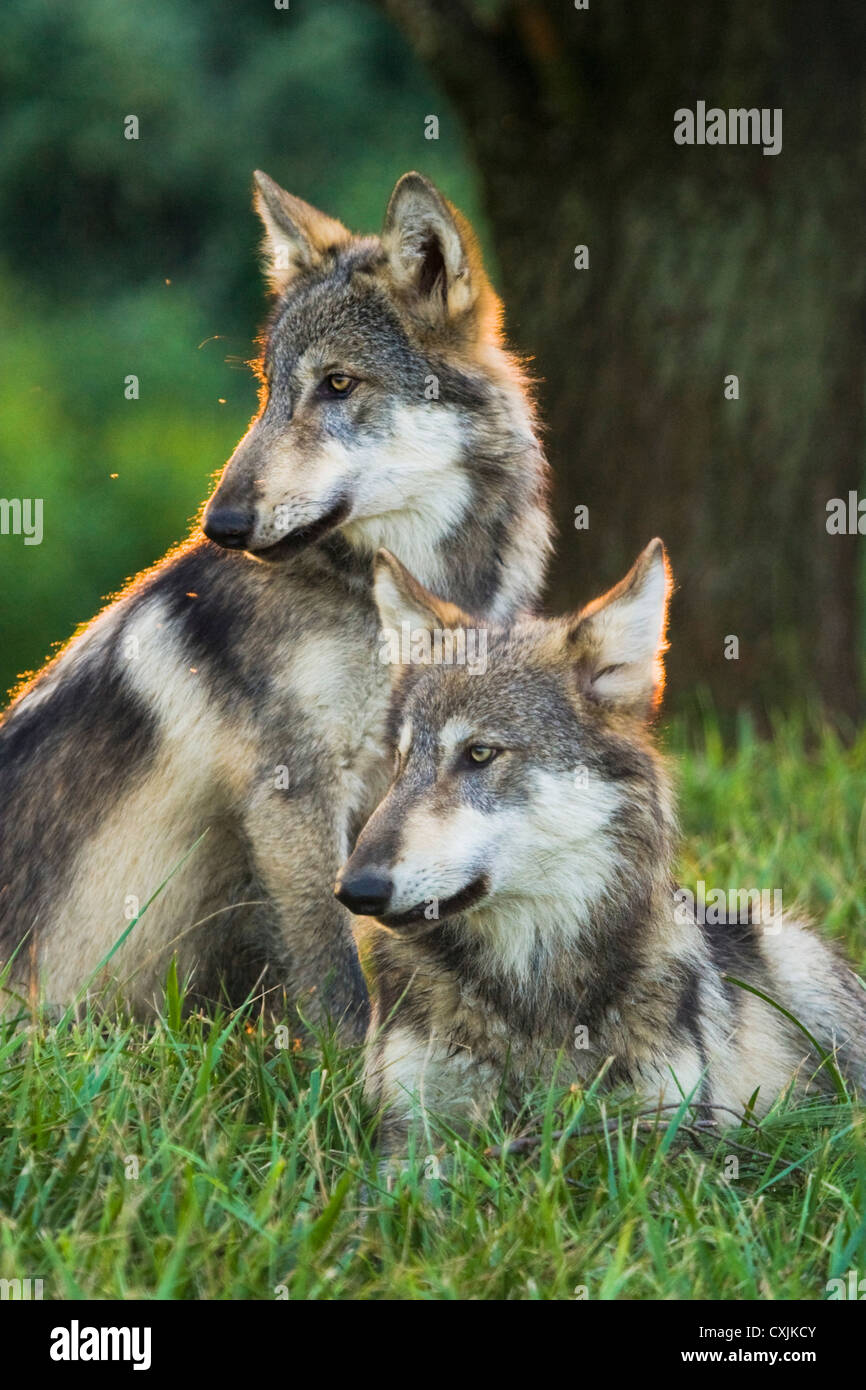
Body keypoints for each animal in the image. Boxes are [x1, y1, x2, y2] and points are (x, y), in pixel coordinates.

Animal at [0, 172, 551, 1037]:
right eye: (268, 391)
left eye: (337, 384)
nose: (220, 525)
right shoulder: (292, 790)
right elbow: (335, 967)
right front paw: (351, 1068)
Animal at [338, 543, 866, 1146]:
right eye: (401, 762)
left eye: (479, 754)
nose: (354, 889)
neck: (529, 978)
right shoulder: (409, 1128)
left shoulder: (669, 1132)